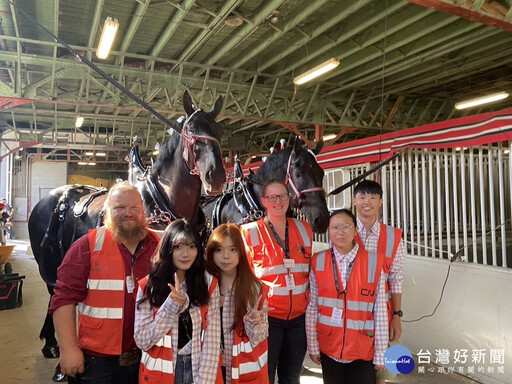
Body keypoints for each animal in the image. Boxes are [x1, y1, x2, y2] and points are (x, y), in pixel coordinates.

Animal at [27, 90, 224, 364]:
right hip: (47, 263)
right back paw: (52, 342)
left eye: (219, 130)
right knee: (53, 293)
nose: (216, 176)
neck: (162, 201)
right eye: (191, 129)